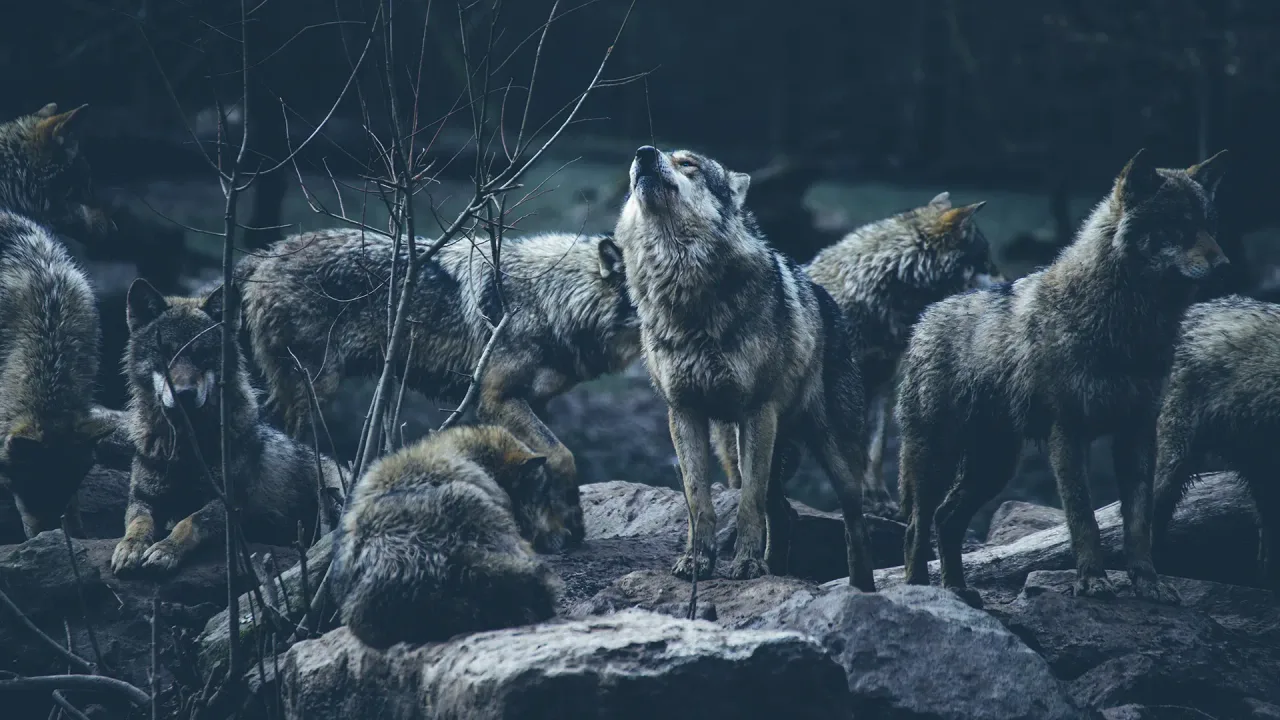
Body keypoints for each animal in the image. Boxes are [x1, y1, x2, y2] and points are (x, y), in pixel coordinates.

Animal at [110, 279, 346, 576]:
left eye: (202, 354)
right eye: (165, 353)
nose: (184, 394)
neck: (187, 447)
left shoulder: (229, 505)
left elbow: (189, 522)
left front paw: (165, 550)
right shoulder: (142, 499)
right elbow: (139, 523)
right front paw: (129, 547)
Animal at [240, 229, 640, 551]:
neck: (551, 299)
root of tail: (263, 254)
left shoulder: (534, 402)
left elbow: (542, 466)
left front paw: (556, 529)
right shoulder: (496, 399)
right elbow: (562, 455)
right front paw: (570, 524)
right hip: (314, 391)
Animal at [614, 145, 876, 590]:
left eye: (688, 163)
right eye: (650, 156)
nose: (644, 153)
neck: (684, 294)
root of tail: (828, 300)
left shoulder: (756, 411)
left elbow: (748, 505)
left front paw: (747, 565)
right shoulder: (683, 412)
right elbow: (698, 501)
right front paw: (697, 562)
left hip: (832, 453)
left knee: (854, 524)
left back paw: (861, 588)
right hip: (734, 447)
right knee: (785, 513)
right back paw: (778, 570)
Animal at [896, 149, 1228, 607]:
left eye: (1209, 225)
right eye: (1178, 226)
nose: (1224, 265)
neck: (1126, 325)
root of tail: (927, 316)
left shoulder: (1138, 433)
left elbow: (1138, 523)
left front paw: (1148, 583)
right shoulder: (1068, 433)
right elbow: (1083, 517)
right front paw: (1092, 581)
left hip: (995, 466)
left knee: (947, 518)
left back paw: (958, 590)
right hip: (937, 459)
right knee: (917, 523)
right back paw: (919, 590)